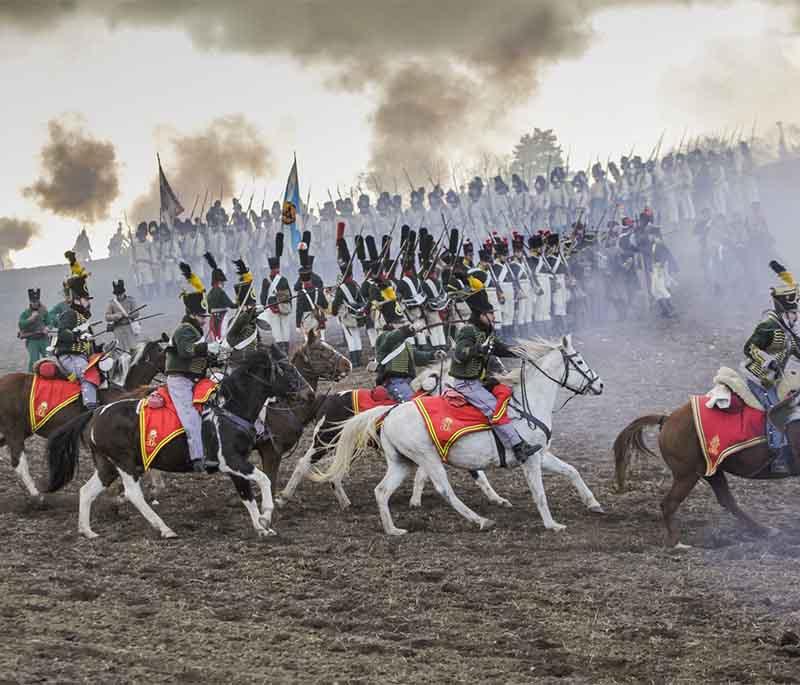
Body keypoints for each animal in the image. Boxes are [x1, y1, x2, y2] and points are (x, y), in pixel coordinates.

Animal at [43, 348, 312, 540]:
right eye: (287, 369)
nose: (309, 393)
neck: (228, 407)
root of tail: (97, 412)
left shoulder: (237, 465)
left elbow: (247, 495)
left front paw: (261, 528)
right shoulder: (232, 461)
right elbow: (264, 480)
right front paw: (266, 516)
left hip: (107, 465)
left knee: (87, 491)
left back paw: (87, 531)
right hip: (125, 463)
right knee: (133, 494)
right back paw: (164, 528)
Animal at [316, 336, 604, 536]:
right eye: (579, 361)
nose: (600, 384)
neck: (527, 402)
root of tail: (390, 412)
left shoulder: (540, 454)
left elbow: (572, 471)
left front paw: (593, 503)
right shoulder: (530, 460)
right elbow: (539, 494)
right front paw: (552, 524)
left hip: (401, 462)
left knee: (381, 491)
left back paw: (393, 529)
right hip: (427, 458)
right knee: (445, 490)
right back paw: (480, 520)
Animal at [616, 366, 800, 548]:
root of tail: (667, 420)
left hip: (711, 471)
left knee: (727, 500)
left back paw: (765, 531)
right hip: (687, 475)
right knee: (669, 503)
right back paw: (676, 543)